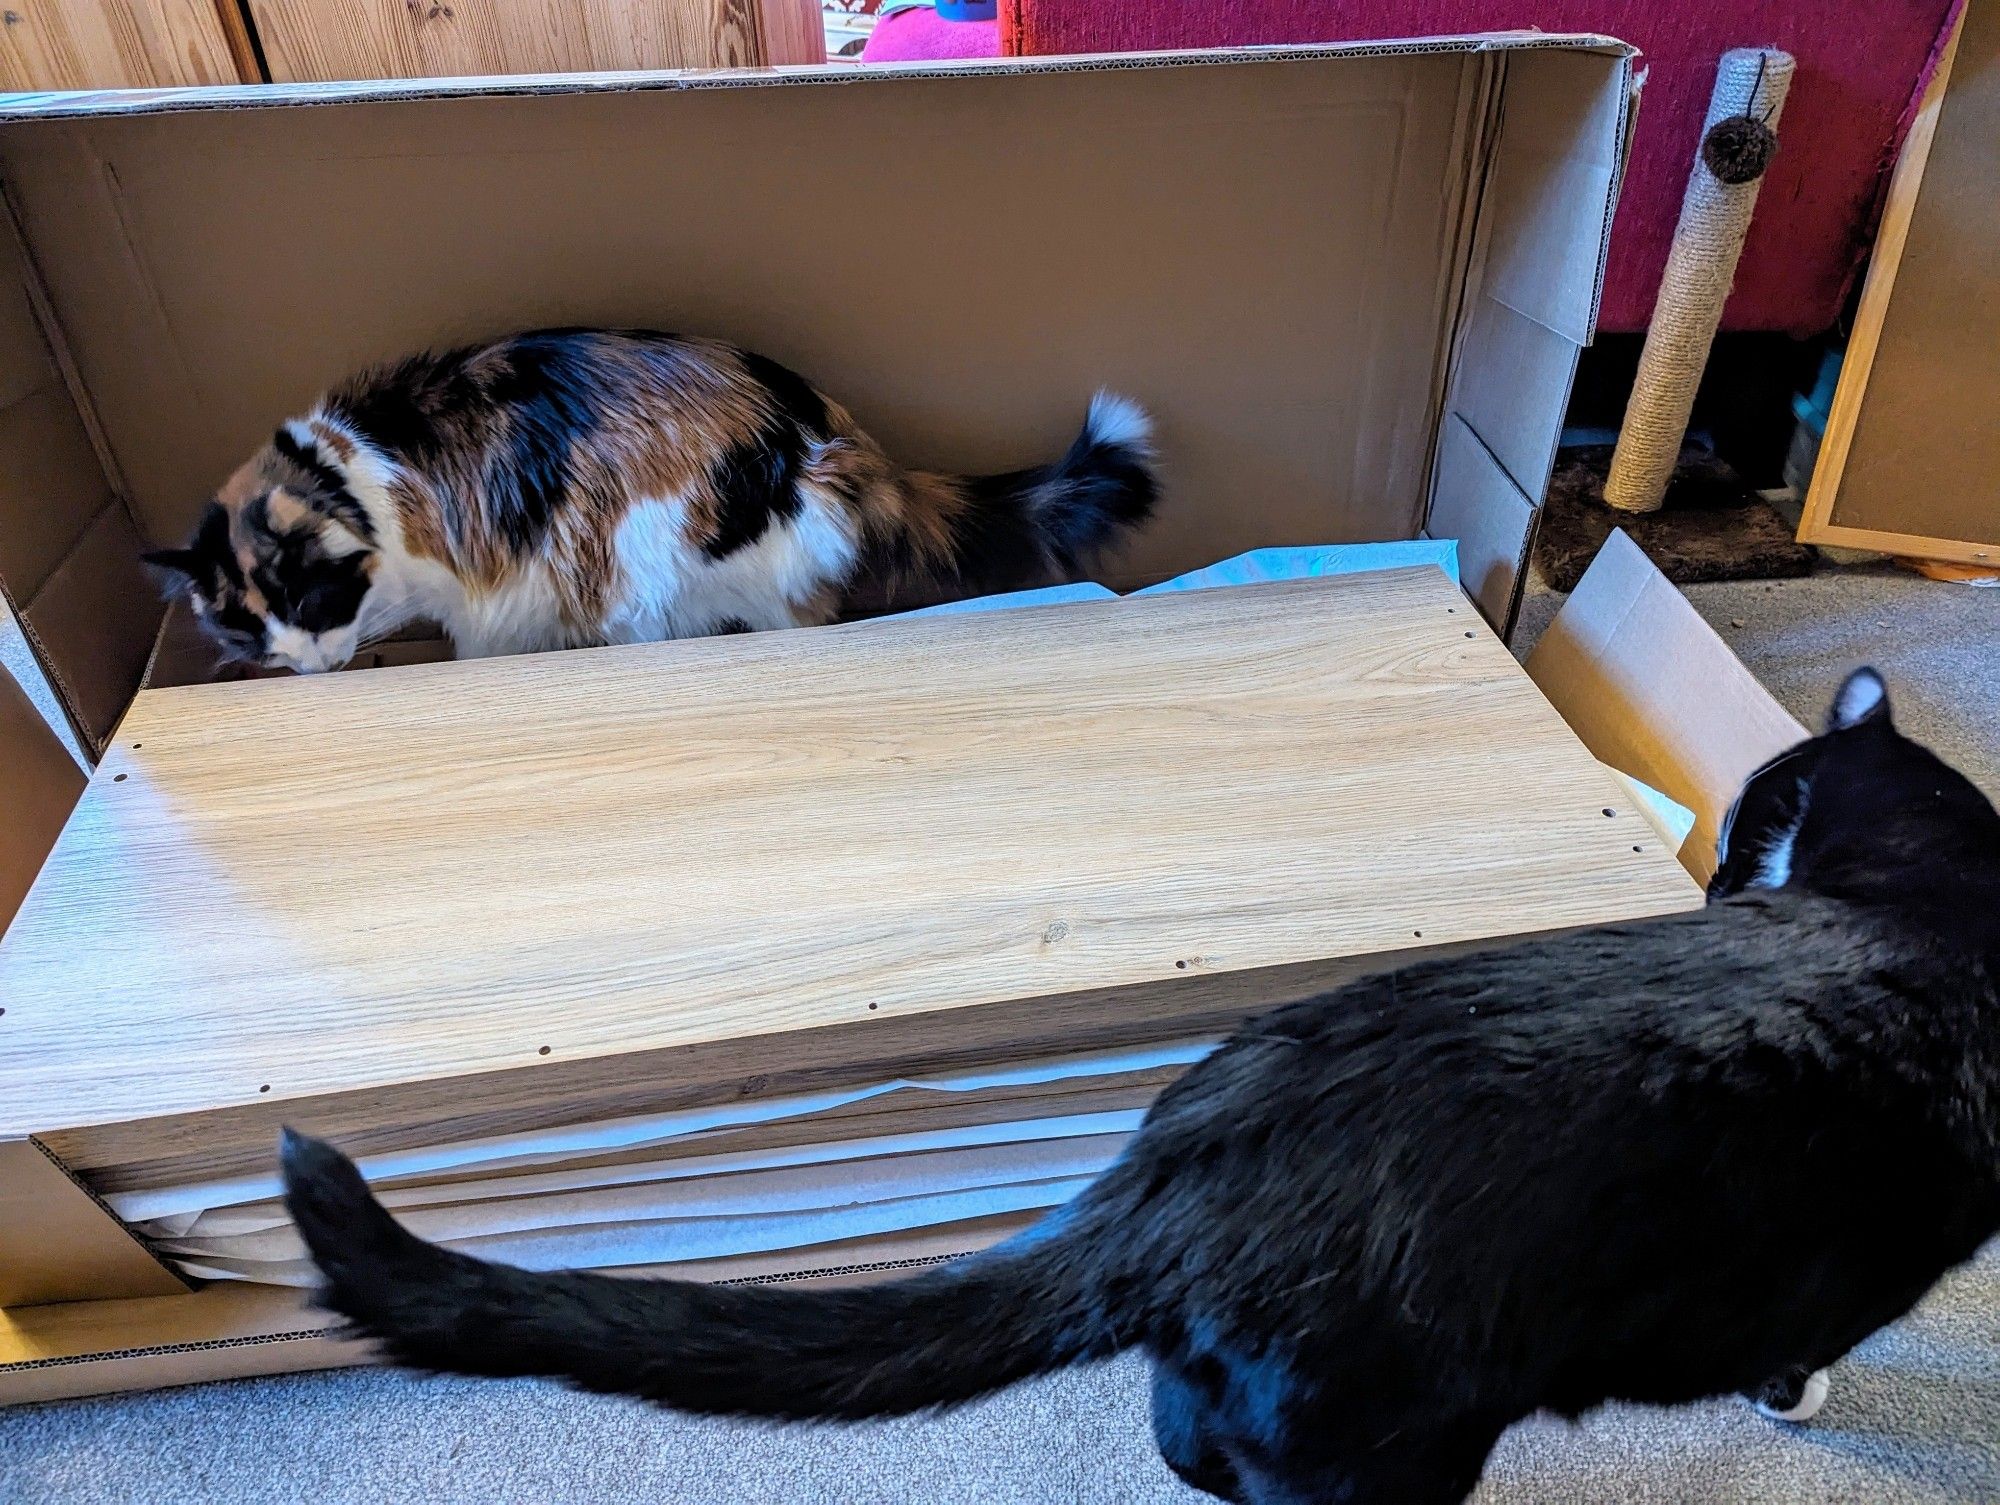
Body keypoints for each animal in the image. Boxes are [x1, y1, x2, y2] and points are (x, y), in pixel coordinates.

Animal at [145, 338, 1160, 680]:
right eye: (245, 631)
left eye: (310, 600)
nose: (307, 665)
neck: (346, 470)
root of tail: (836, 442)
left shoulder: (485, 599)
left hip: (652, 571)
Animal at [282, 668, 2000, 1505]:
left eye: (1755, 811)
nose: (1709, 880)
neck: (1933, 899)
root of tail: (1185, 1165)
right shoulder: (1862, 1261)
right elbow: (1808, 1341)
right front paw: (1793, 1394)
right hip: (1390, 1449)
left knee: (1185, 1444)